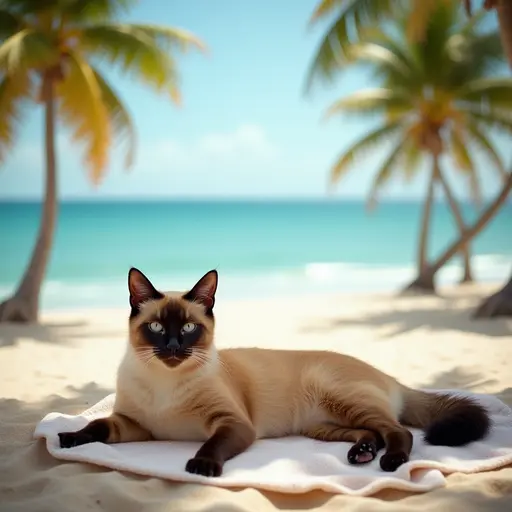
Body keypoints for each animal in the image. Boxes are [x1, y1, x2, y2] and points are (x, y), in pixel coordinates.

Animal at [58, 268, 490, 476]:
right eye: (158, 329)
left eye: (189, 328)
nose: (175, 348)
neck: (165, 383)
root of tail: (390, 377)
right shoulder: (134, 425)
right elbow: (96, 428)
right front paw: (69, 438)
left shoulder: (232, 424)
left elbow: (211, 446)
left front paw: (202, 467)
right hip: (322, 426)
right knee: (373, 433)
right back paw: (362, 454)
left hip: (340, 397)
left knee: (399, 431)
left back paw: (390, 462)